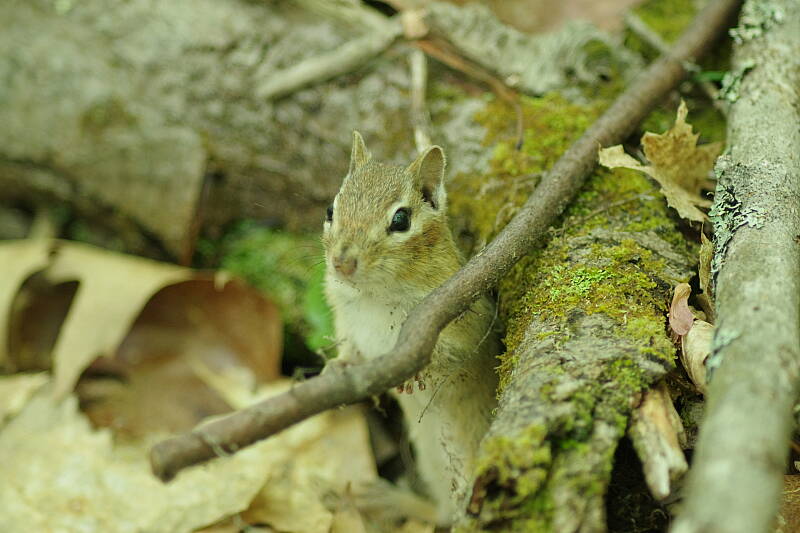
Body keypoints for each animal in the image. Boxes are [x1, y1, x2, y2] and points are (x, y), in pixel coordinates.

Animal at [322, 131, 500, 524]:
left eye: (401, 220)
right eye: (330, 210)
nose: (342, 263)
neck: (376, 296)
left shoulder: (466, 322)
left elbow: (455, 358)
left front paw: (420, 372)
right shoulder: (348, 320)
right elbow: (351, 350)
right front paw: (336, 366)